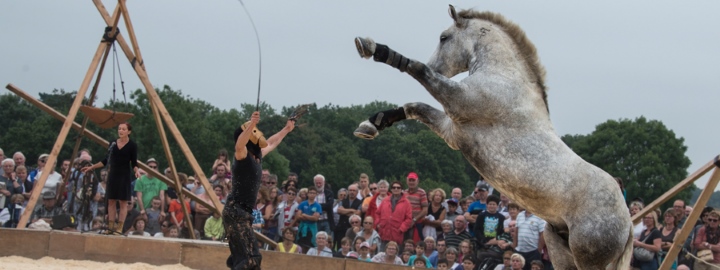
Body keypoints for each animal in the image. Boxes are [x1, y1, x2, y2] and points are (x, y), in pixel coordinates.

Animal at [352, 5, 632, 268]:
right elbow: (414, 106)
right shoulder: (452, 130)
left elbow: (418, 70)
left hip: (589, 257)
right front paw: (371, 124)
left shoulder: (458, 101)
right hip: (560, 248)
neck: (503, 76)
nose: (437, 66)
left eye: (444, 37)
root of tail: (628, 221)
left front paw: (371, 47)